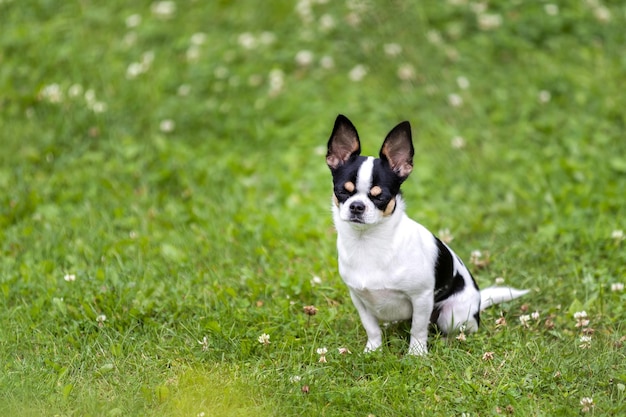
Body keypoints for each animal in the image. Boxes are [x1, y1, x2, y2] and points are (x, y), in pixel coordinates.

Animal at [326, 114, 528, 354]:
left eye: (380, 196)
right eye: (341, 191)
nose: (357, 206)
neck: (368, 241)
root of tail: (478, 302)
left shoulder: (421, 298)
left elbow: (418, 329)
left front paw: (416, 354)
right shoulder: (359, 299)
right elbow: (371, 328)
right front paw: (373, 351)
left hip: (452, 314)